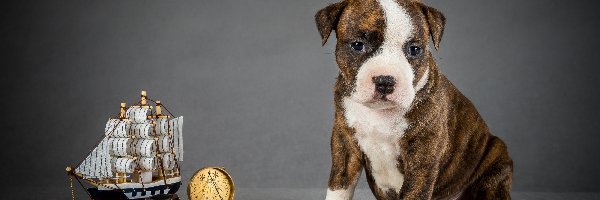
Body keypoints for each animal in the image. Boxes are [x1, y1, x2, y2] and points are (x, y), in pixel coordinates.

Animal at [316, 0, 512, 200]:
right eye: (357, 45)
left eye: (414, 50)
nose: (385, 81)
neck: (381, 113)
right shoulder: (344, 145)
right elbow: (339, 187)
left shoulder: (422, 156)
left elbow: (414, 191)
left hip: (496, 160)